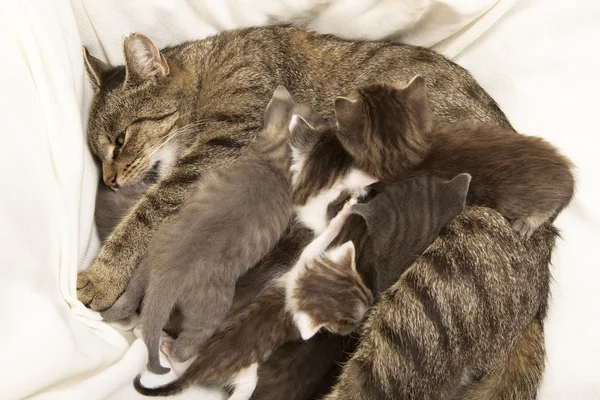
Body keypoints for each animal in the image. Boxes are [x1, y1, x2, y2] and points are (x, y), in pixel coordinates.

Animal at [79, 25, 510, 312]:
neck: (207, 72)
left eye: (120, 139)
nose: (110, 180)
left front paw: (100, 277)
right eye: (96, 156)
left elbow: (147, 213)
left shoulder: (222, 145)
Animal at [134, 200, 372, 396]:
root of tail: (197, 369)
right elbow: (305, 331)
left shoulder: (302, 261)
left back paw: (164, 347)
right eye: (348, 323)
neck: (300, 287)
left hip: (196, 346)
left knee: (179, 359)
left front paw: (345, 212)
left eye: (366, 289)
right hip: (247, 376)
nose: (371, 302)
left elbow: (323, 239)